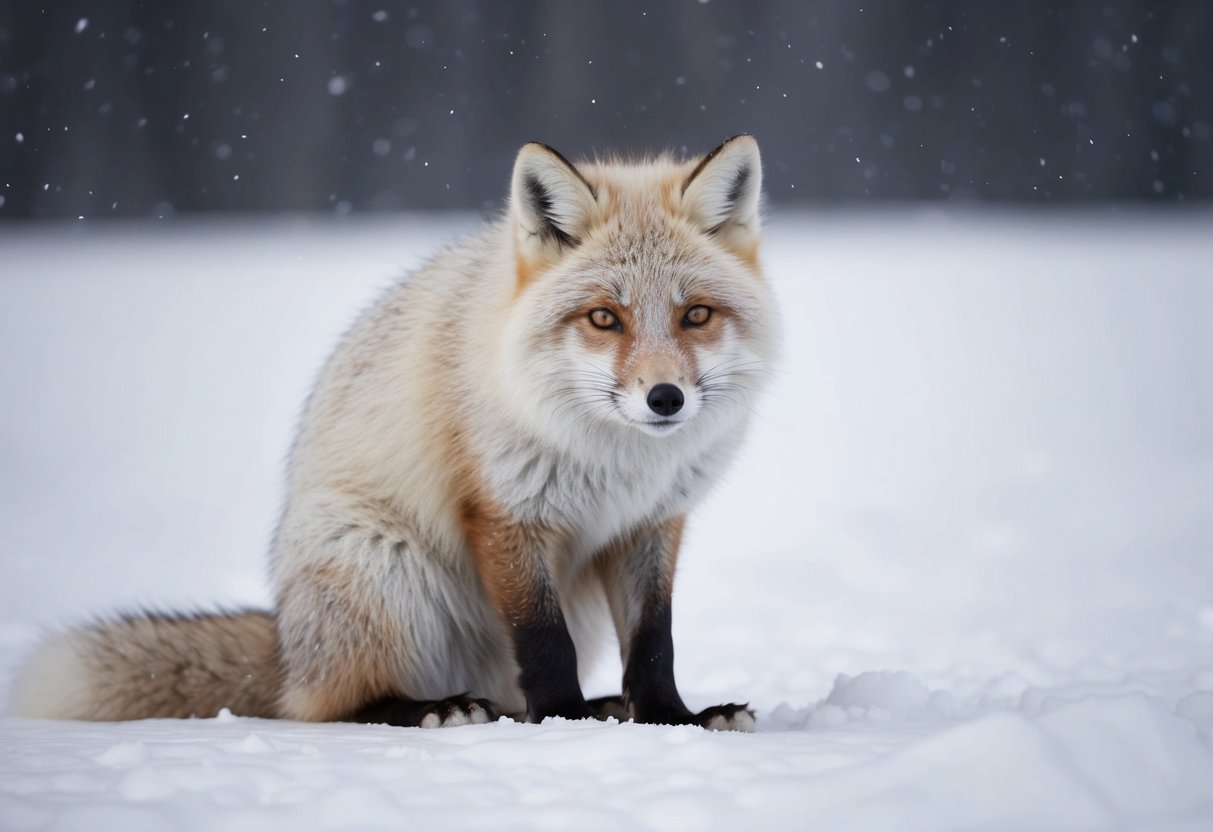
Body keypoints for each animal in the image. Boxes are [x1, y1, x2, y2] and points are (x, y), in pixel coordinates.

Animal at [10, 135, 780, 731]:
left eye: (696, 315)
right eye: (603, 319)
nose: (664, 398)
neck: (617, 463)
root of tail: (286, 644)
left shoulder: (650, 523)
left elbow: (653, 643)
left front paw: (673, 719)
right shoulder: (504, 514)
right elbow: (542, 640)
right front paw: (564, 720)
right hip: (382, 567)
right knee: (333, 706)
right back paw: (437, 708)